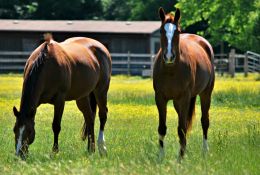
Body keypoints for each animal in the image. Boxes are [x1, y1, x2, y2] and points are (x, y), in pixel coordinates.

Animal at [153, 7, 214, 160]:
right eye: (161, 31)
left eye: (178, 32)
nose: (169, 56)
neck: (171, 70)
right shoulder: (160, 98)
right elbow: (162, 128)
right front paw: (161, 157)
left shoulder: (185, 98)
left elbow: (181, 128)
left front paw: (180, 158)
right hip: (177, 102)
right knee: (185, 123)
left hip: (205, 94)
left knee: (204, 121)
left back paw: (205, 151)